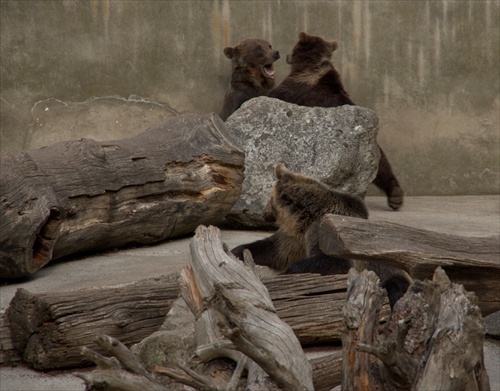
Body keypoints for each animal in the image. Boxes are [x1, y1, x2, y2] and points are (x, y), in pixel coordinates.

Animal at [230, 164, 410, 308]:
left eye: (268, 197)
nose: (264, 213)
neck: (305, 219)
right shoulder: (296, 239)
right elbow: (274, 250)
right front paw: (236, 252)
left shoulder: (325, 233)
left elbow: (335, 262)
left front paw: (289, 272)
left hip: (387, 272)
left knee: (397, 286)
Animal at [270, 33, 402, 211]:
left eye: (294, 47)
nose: (286, 56)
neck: (311, 68)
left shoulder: (295, 88)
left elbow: (275, 94)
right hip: (369, 147)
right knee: (382, 164)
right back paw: (395, 194)